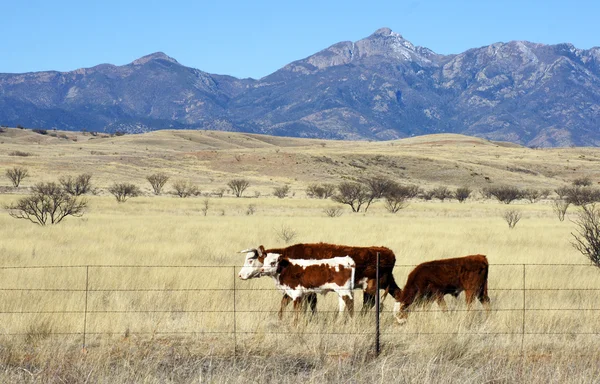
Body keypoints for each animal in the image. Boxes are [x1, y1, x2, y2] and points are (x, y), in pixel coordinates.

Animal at [237, 243, 400, 318]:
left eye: (250, 260)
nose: (240, 275)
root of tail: (386, 251)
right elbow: (285, 302)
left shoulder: (305, 289)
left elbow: (310, 304)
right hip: (387, 282)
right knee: (399, 295)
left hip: (370, 285)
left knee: (368, 304)